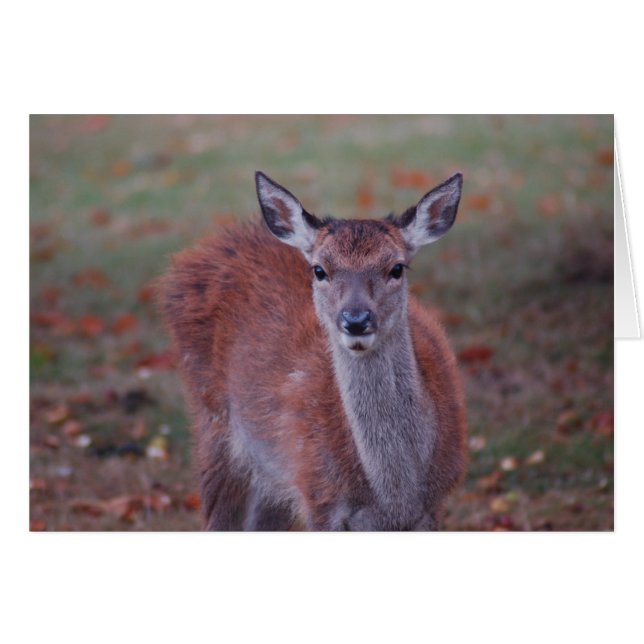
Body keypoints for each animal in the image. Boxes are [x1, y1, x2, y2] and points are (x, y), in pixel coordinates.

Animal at [158, 171, 467, 531]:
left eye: (397, 268)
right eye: (320, 270)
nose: (356, 320)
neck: (393, 497)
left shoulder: (434, 504)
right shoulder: (319, 496)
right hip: (212, 423)